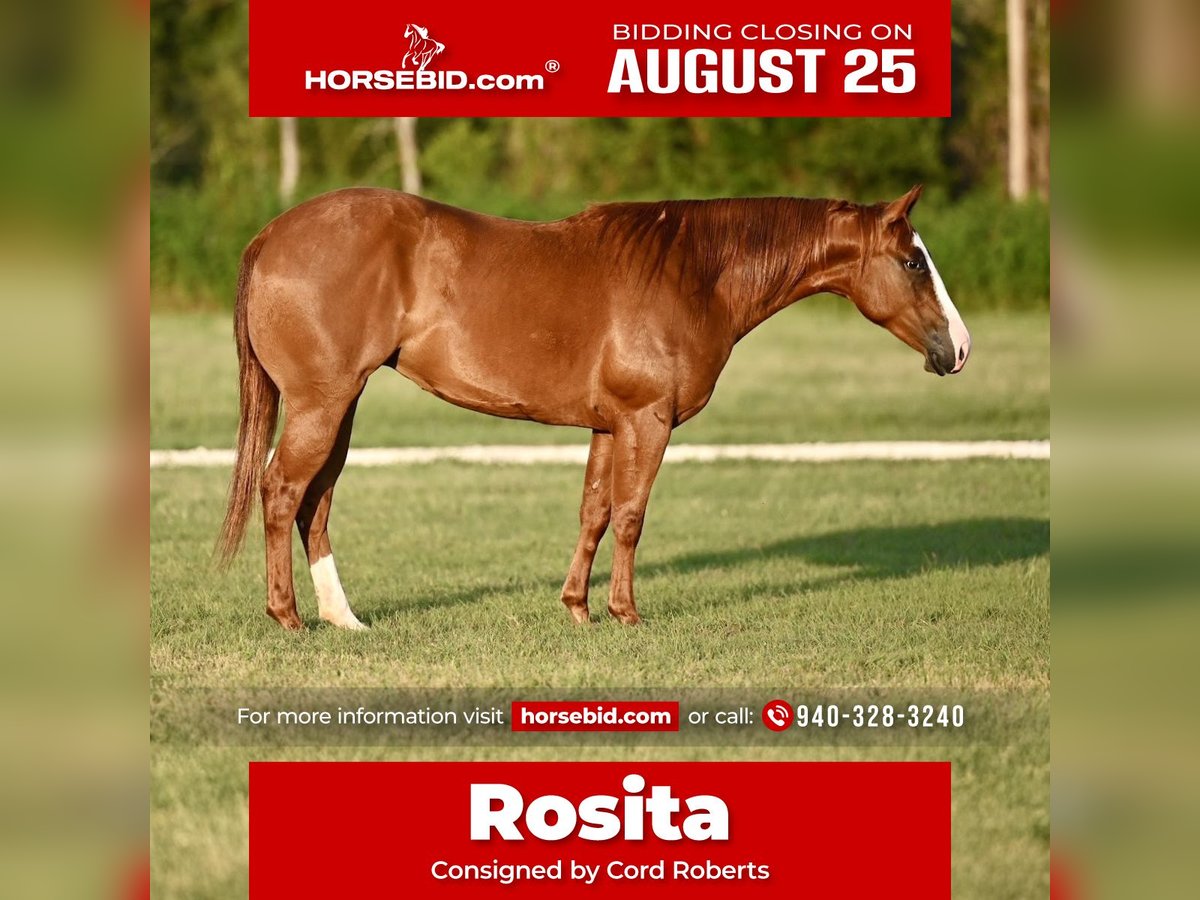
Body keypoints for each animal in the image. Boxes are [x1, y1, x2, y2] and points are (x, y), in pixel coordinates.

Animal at [215, 186, 970, 631]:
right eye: (913, 262)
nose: (958, 349)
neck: (694, 272)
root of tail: (271, 234)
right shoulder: (647, 420)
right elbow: (632, 517)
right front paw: (625, 613)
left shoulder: (611, 425)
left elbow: (595, 514)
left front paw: (578, 610)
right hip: (322, 404)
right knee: (281, 493)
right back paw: (287, 617)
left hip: (340, 407)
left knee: (315, 504)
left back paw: (343, 619)